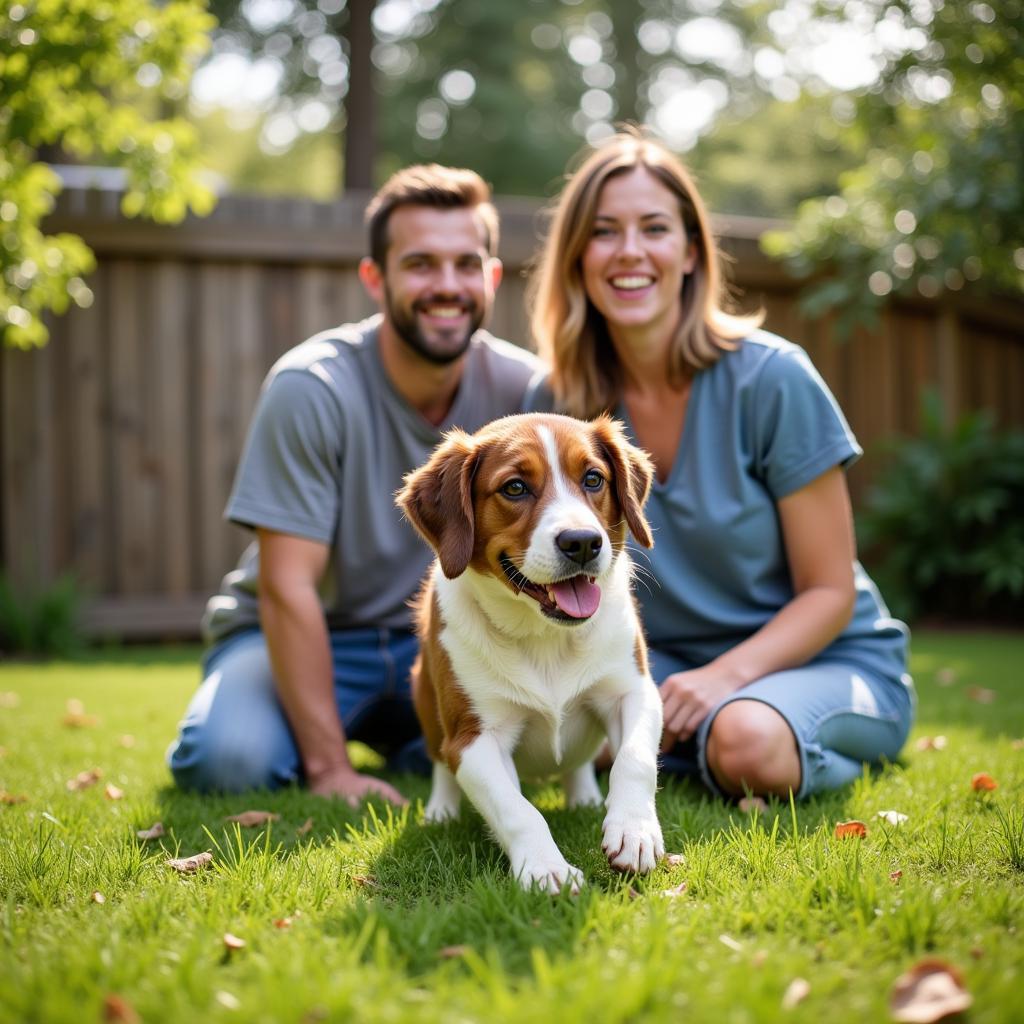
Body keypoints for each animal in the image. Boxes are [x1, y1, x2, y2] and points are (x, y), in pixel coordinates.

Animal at [395, 411, 667, 892]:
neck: (545, 634)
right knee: (440, 762)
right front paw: (546, 868)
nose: (583, 541)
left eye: (593, 479)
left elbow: (634, 760)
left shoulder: (634, 693)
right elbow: (518, 810)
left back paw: (584, 797)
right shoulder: (473, 739)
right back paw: (442, 811)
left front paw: (634, 830)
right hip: (426, 702)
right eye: (515, 487)